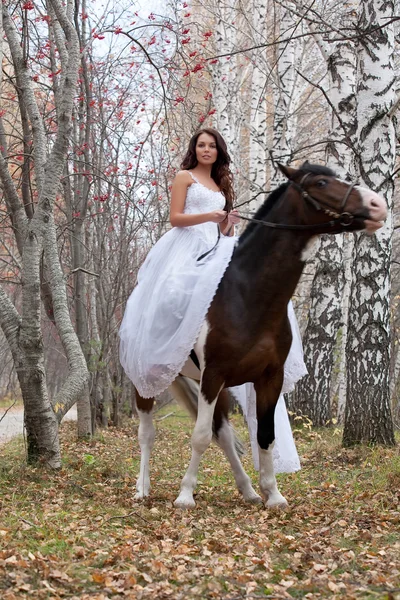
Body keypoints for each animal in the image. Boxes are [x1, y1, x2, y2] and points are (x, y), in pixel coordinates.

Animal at [133, 163, 386, 506]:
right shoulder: (213, 375)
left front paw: (272, 494)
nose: (378, 205)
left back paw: (248, 490)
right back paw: (141, 488)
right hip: (146, 381)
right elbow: (199, 437)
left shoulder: (268, 377)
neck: (245, 294)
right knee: (148, 432)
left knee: (223, 435)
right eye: (321, 183)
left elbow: (264, 435)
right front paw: (185, 496)